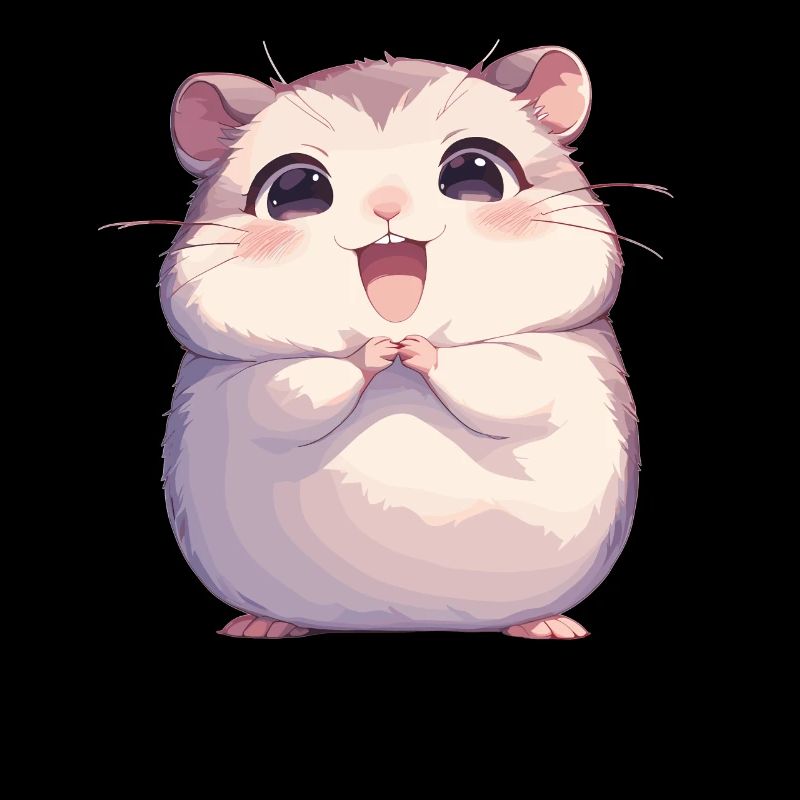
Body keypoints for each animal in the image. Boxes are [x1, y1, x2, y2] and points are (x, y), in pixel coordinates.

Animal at [160, 47, 640, 639]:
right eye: (294, 190)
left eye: (474, 172)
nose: (386, 207)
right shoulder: (254, 372)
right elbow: (292, 390)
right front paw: (377, 351)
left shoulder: (537, 355)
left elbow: (508, 380)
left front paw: (414, 351)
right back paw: (262, 626)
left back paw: (549, 627)